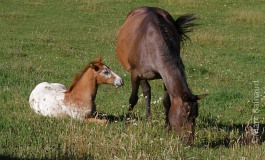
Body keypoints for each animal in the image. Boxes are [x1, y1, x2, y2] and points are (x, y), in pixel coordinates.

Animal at [116, 6, 207, 144]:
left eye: (195, 115)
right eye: (184, 115)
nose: (189, 141)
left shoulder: (164, 76)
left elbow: (166, 101)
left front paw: (167, 128)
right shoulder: (135, 73)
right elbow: (133, 99)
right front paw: (126, 123)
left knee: (147, 90)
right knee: (146, 90)